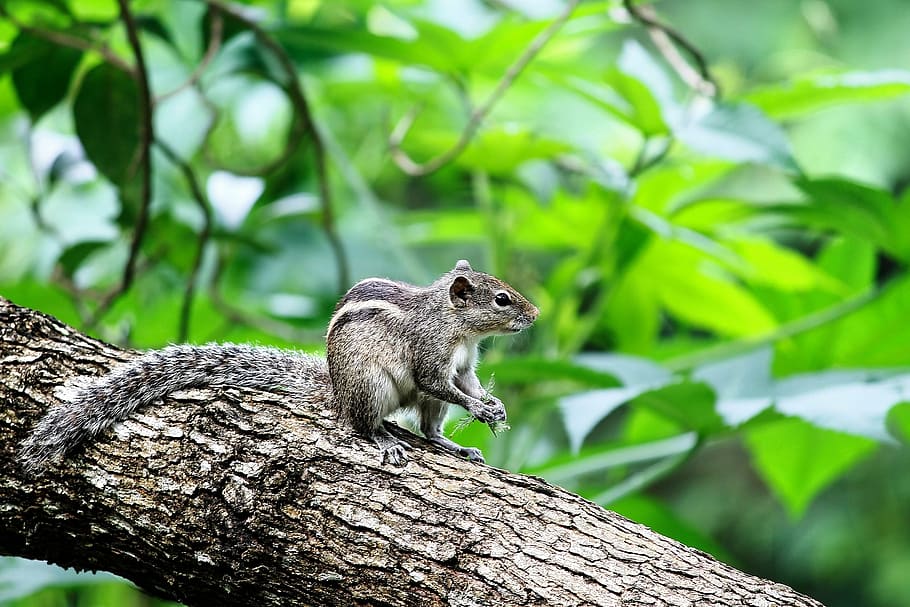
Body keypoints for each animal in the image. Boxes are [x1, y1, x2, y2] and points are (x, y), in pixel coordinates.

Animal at [19, 259, 538, 472]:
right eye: (502, 298)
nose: (534, 314)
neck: (459, 326)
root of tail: (337, 393)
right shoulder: (431, 355)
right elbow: (439, 381)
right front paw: (485, 409)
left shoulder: (463, 364)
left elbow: (466, 385)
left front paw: (492, 405)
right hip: (369, 386)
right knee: (363, 424)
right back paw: (386, 440)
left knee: (429, 428)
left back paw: (456, 447)